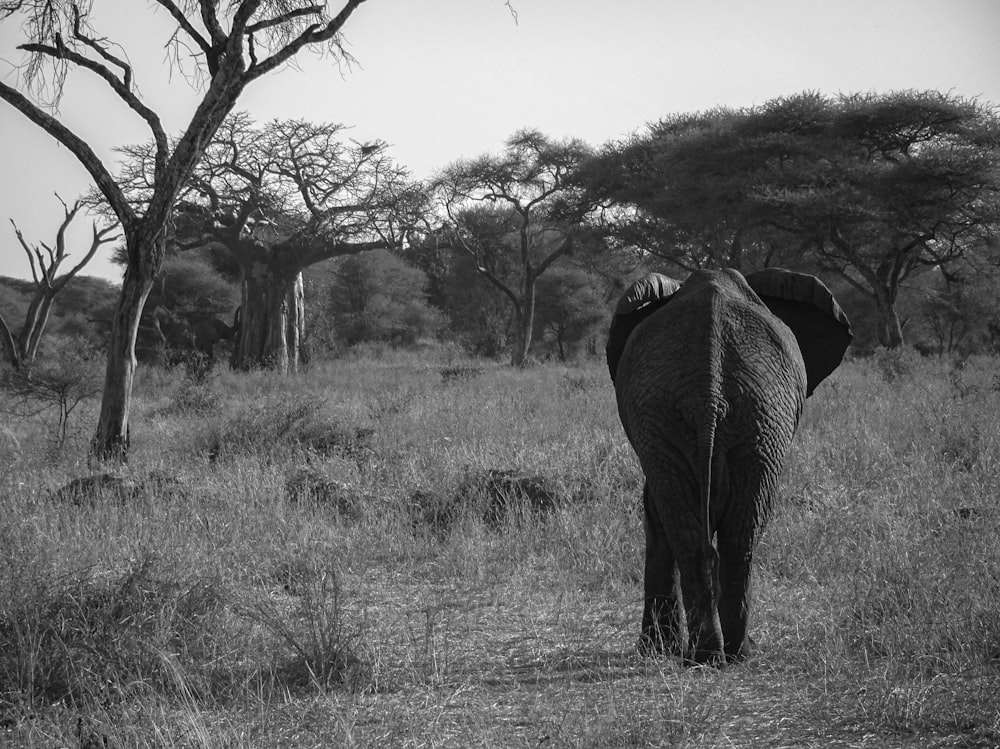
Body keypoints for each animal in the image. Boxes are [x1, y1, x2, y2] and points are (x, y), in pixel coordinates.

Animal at [608, 266, 852, 664]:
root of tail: (709, 393)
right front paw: (656, 651)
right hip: (747, 420)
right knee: (727, 534)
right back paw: (724, 654)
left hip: (750, 418)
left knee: (723, 537)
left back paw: (718, 655)